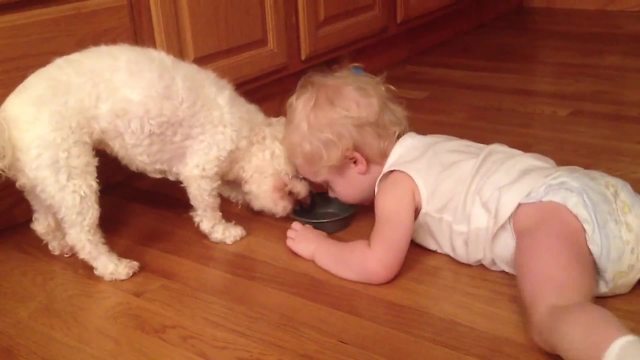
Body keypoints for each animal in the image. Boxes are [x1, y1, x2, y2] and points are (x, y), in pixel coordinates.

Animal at [0, 44, 310, 282]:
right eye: (292, 178)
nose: (303, 203)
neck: (248, 134)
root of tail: (8, 118)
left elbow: (228, 187)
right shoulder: (202, 166)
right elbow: (208, 208)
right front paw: (223, 230)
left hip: (44, 178)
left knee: (43, 222)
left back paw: (60, 244)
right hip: (72, 174)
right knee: (82, 234)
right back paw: (114, 267)